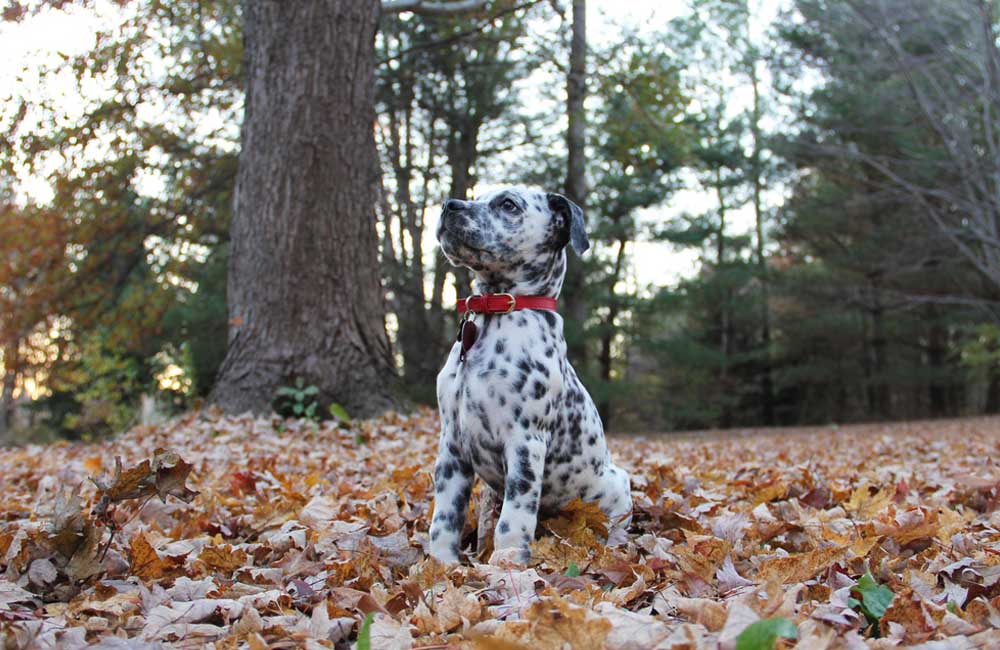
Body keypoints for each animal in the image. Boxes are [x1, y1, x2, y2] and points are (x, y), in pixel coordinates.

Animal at [424, 184, 628, 560]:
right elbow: (444, 517)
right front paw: (441, 564)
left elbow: (513, 520)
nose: (448, 205)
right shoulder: (452, 446)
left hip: (616, 486)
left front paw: (507, 563)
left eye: (508, 204)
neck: (495, 314)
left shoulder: (525, 441)